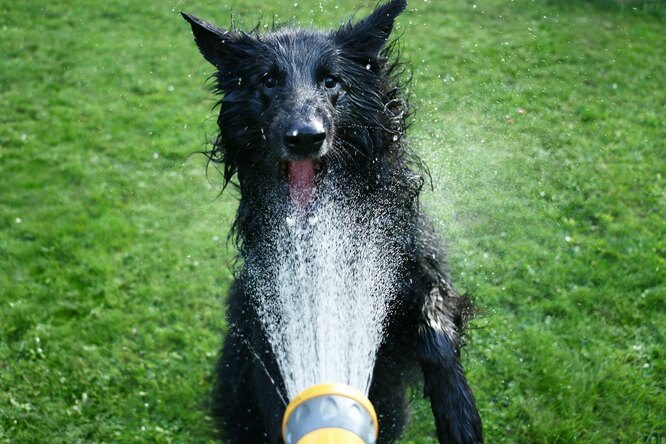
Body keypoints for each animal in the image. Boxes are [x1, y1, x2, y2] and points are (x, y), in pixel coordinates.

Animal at [184, 1, 480, 442]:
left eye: (331, 81)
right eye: (268, 80)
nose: (306, 137)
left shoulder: (411, 264)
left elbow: (436, 322)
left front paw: (459, 414)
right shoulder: (275, 312)